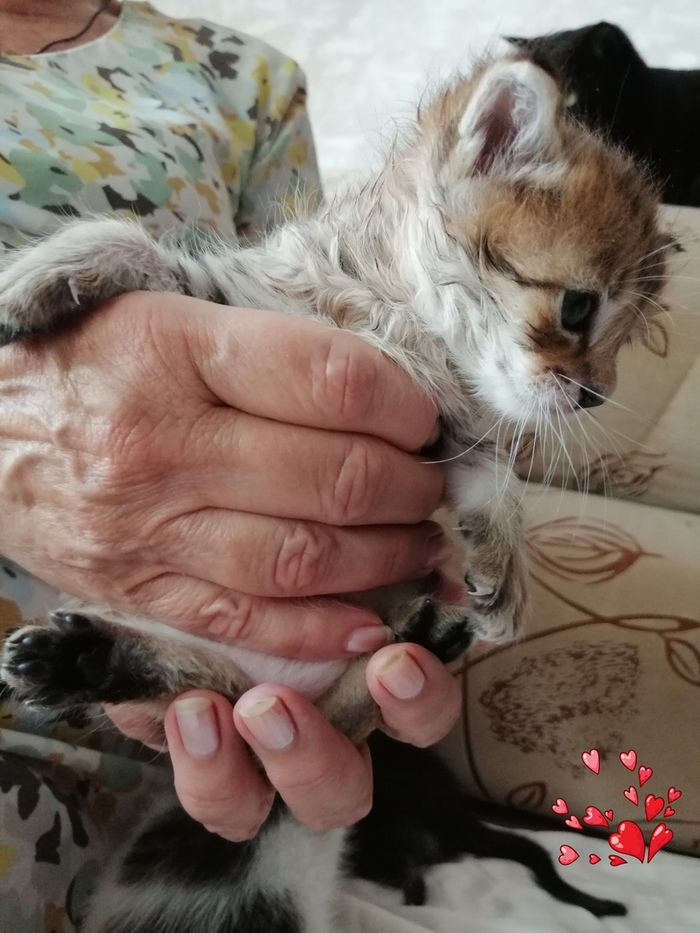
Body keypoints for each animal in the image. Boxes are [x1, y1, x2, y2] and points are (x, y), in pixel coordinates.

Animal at [0, 52, 671, 933]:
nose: (596, 396)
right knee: (218, 688)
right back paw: (75, 660)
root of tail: (283, 688)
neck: (396, 319)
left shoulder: (446, 434)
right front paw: (44, 271)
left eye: (620, 336)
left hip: (290, 702)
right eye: (579, 306)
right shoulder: (247, 307)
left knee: (286, 708)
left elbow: (494, 479)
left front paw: (503, 565)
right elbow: (140, 244)